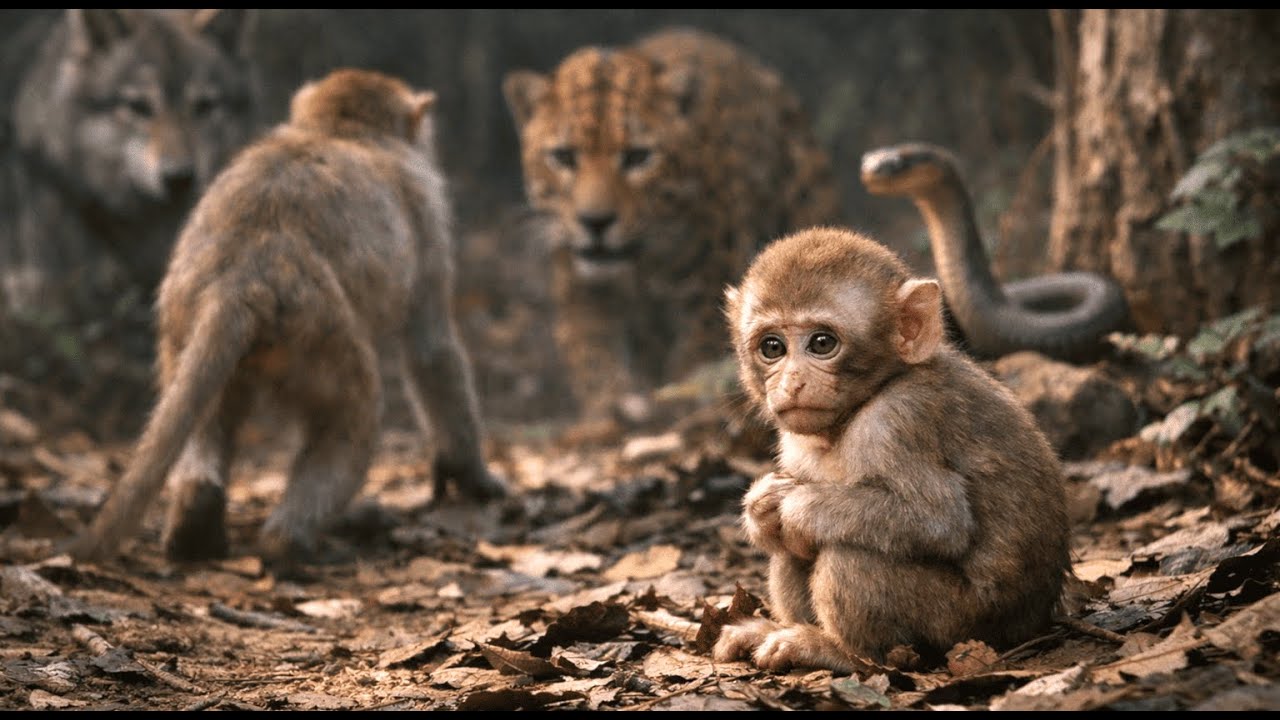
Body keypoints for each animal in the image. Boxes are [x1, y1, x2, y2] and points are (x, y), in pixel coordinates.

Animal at [63, 68, 507, 573]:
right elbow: (431, 349)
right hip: (318, 337)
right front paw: (475, 477)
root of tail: (242, 278)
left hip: (183, 327)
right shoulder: (429, 213)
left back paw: (195, 525)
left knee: (207, 413)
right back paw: (290, 542)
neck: (340, 129)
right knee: (351, 415)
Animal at [713, 227, 1070, 672]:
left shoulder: (896, 421)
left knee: (851, 553)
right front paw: (761, 507)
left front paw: (794, 506)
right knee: (791, 553)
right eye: (772, 348)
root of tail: (1034, 621)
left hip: (961, 622)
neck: (868, 397)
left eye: (822, 343)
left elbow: (939, 519)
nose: (793, 381)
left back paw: (837, 651)